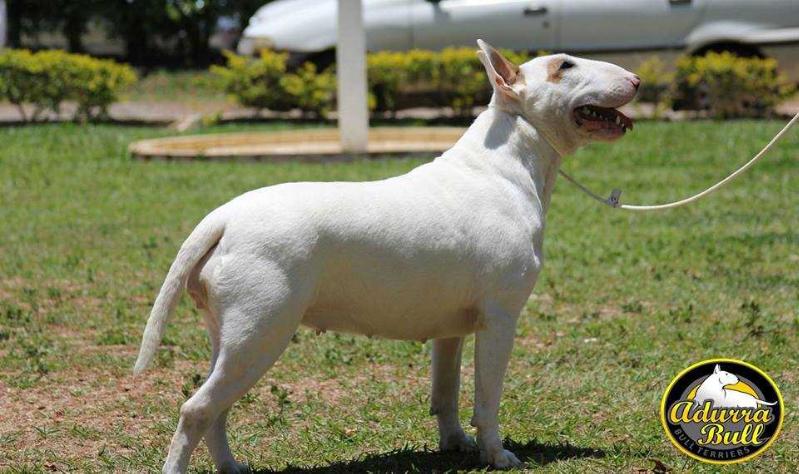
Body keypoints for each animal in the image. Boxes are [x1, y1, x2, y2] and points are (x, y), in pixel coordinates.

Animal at [134, 39, 640, 472]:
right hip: (260, 330)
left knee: (216, 408)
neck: (506, 163)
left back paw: (231, 466)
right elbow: (487, 397)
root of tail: (223, 218)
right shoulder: (500, 318)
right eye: (565, 66)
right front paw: (497, 455)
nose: (636, 79)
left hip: (230, 334)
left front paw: (455, 443)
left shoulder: (452, 327)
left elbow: (447, 390)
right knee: (197, 409)